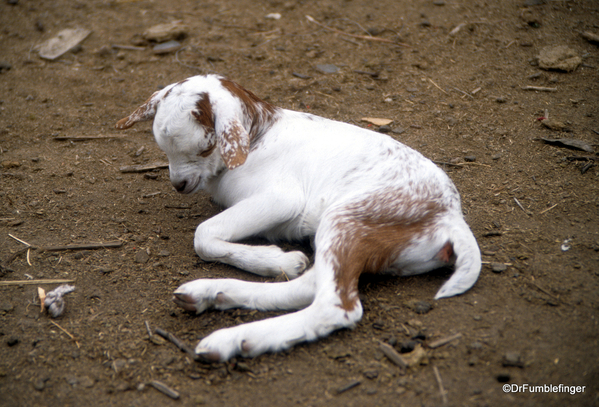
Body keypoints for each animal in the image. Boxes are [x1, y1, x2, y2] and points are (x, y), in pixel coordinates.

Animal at [117, 75, 482, 362]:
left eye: (205, 148)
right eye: (163, 149)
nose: (179, 184)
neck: (258, 135)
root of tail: (452, 219)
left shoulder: (280, 198)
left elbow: (204, 235)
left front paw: (270, 258)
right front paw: (278, 261)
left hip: (346, 217)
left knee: (334, 304)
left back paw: (236, 337)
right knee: (311, 284)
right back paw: (216, 293)